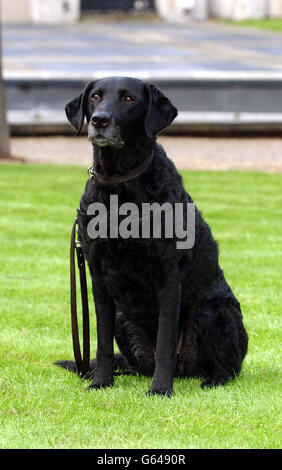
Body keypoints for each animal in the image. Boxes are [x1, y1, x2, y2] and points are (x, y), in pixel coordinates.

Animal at [57, 77, 249, 396]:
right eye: (95, 96)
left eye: (129, 99)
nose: (99, 120)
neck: (119, 188)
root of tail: (186, 372)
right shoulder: (98, 277)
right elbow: (102, 342)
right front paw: (101, 382)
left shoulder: (169, 276)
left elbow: (165, 340)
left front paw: (159, 389)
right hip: (124, 318)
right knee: (135, 363)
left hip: (213, 310)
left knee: (228, 368)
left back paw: (212, 379)